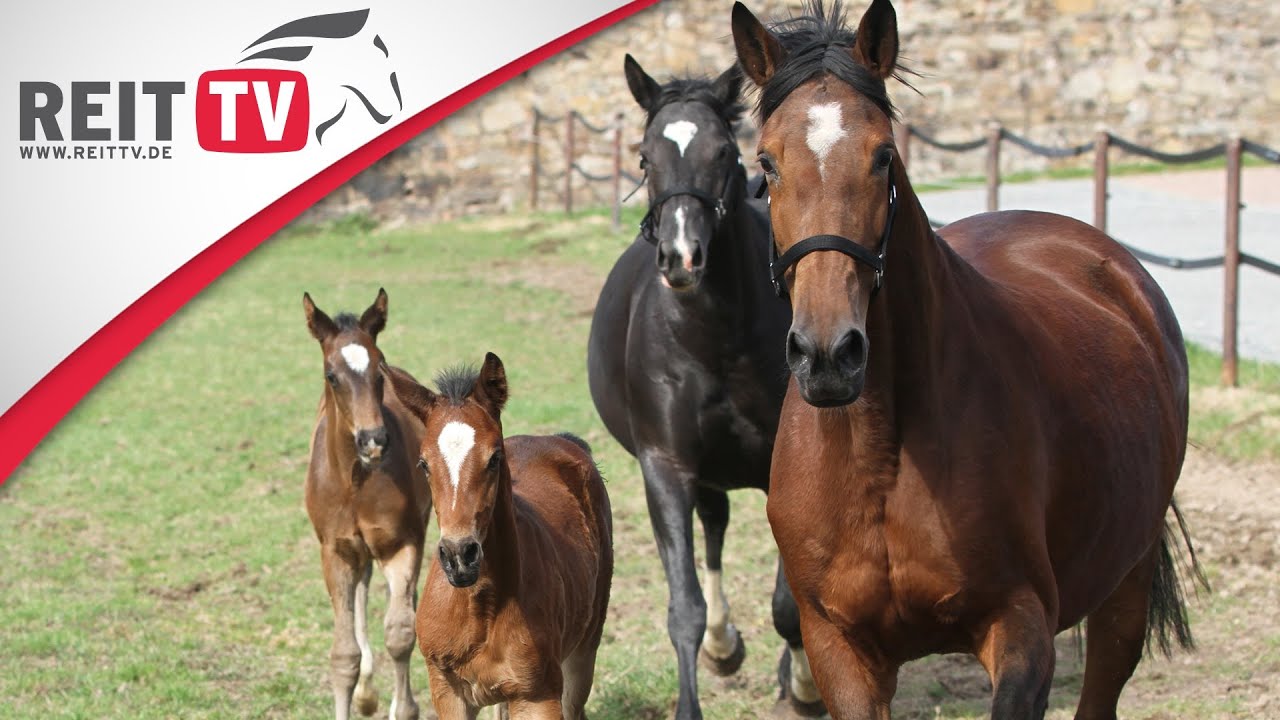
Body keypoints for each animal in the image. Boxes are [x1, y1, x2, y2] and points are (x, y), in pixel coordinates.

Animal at [303, 288, 432, 720]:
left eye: (380, 369)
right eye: (331, 375)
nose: (373, 440)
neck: (354, 483)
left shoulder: (402, 543)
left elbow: (401, 633)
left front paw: (404, 707)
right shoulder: (336, 550)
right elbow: (344, 655)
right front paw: (359, 692)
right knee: (362, 591)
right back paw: (366, 693)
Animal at [383, 352, 613, 720]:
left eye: (494, 458)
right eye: (423, 464)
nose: (459, 556)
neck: (480, 609)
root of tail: (563, 440)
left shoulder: (538, 696)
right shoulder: (447, 690)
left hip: (583, 651)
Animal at [587, 56, 822, 719]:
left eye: (723, 151)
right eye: (645, 157)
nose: (682, 258)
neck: (716, 339)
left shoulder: (780, 465)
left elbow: (790, 603)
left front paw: (805, 686)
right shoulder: (666, 467)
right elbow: (685, 609)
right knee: (713, 527)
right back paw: (723, 646)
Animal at [730, 1, 1204, 718]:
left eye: (884, 155)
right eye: (767, 162)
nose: (829, 355)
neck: (882, 453)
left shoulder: (1021, 626)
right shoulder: (840, 649)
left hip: (1127, 583)